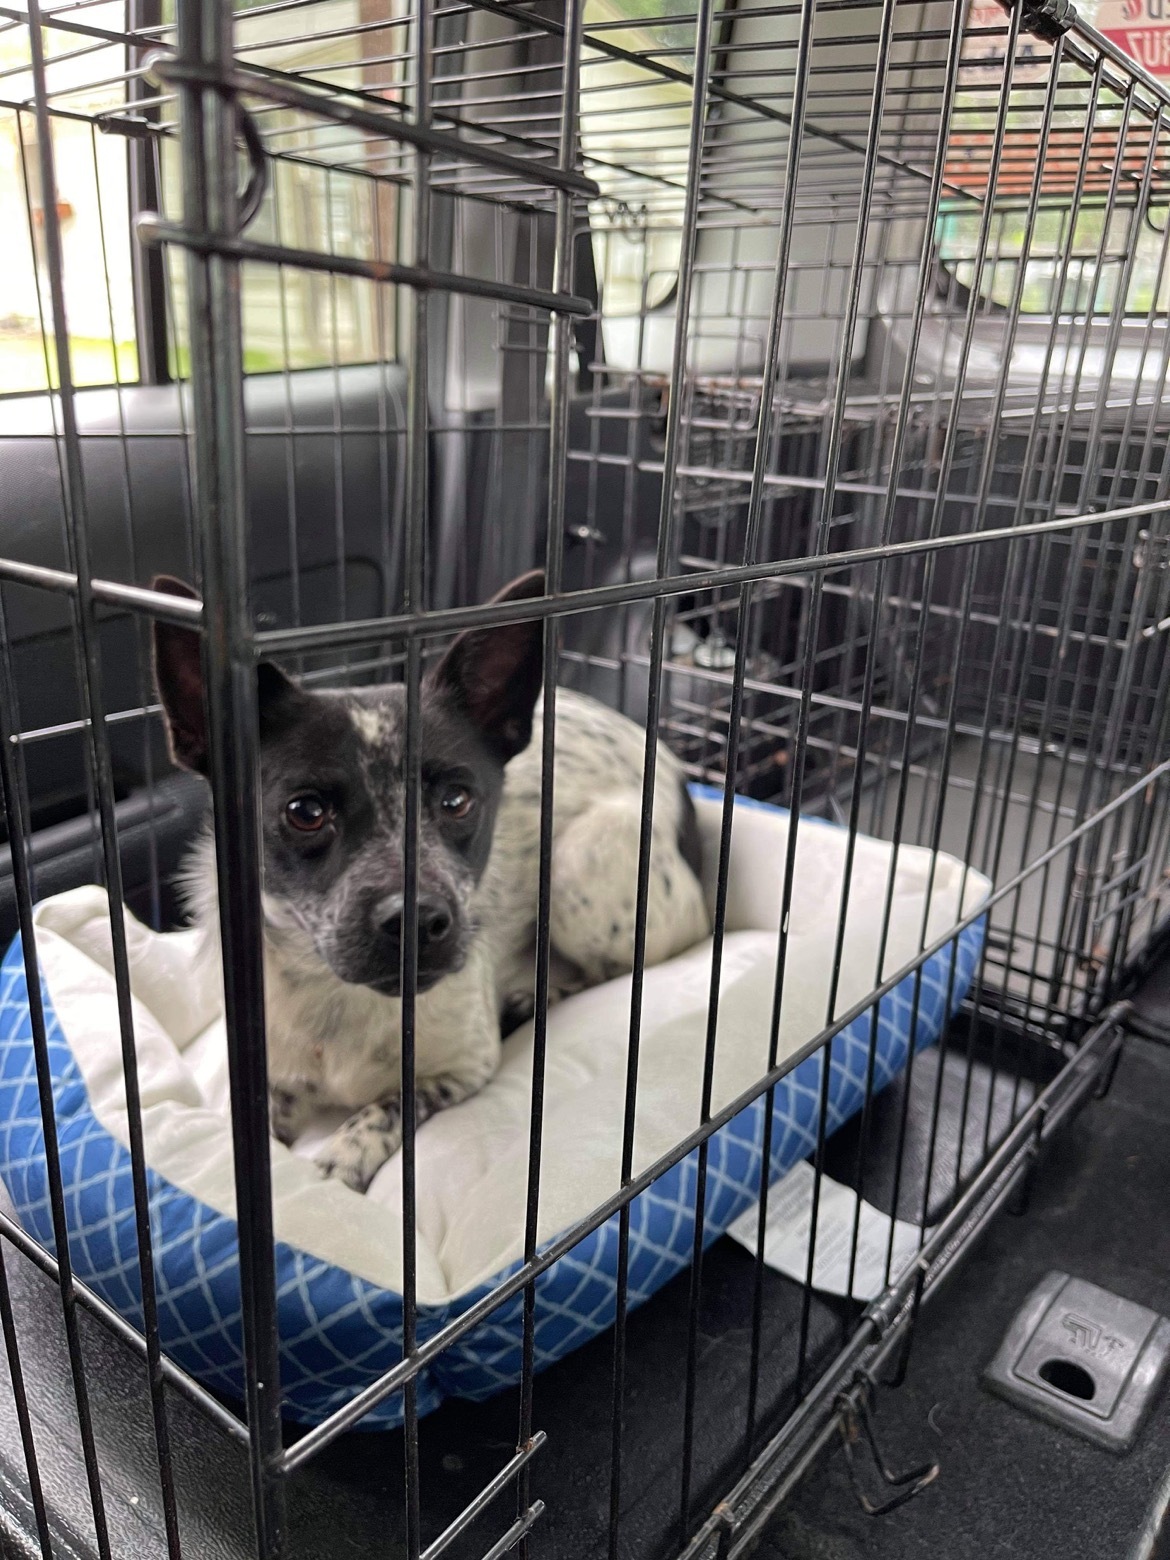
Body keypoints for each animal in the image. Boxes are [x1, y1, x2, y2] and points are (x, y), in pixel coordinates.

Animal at [152, 574, 711, 1191]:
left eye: (457, 800)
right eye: (305, 812)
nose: (418, 920)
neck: (341, 1002)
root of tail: (679, 777)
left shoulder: (463, 1068)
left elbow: (390, 1105)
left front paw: (341, 1160)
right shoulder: (263, 1085)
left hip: (581, 868)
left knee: (616, 966)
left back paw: (531, 998)